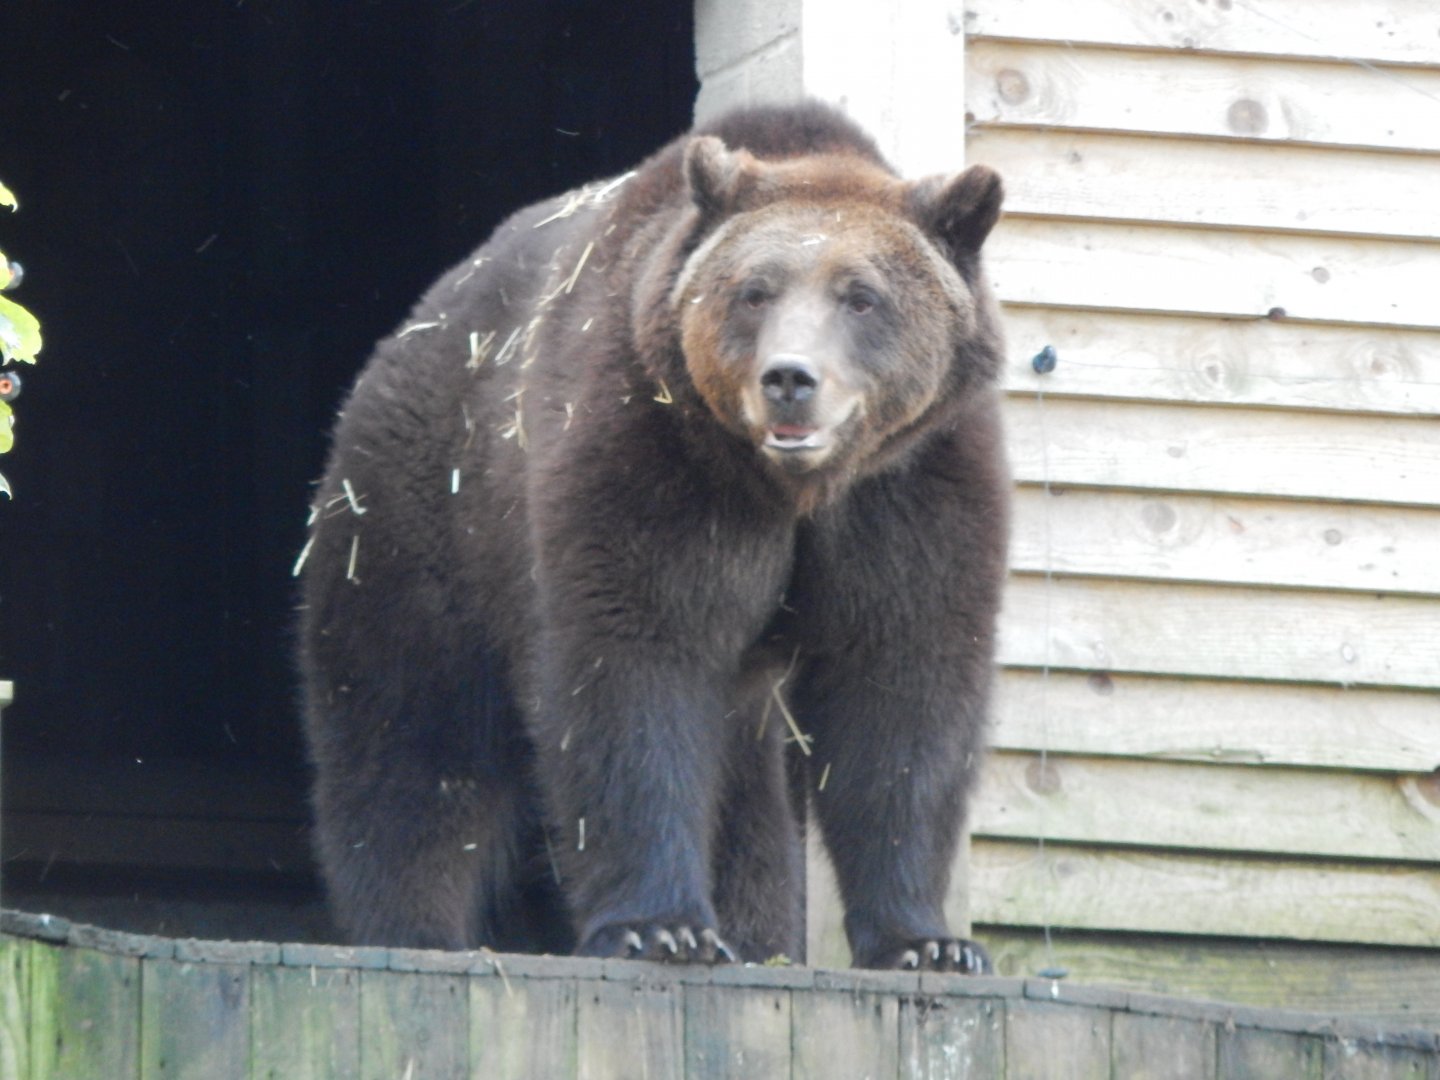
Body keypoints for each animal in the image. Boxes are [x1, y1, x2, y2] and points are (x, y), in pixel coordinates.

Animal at [298, 100, 1008, 972]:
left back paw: (757, 931)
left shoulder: (909, 492)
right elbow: (634, 668)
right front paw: (660, 928)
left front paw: (928, 941)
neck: (795, 489)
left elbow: (904, 688)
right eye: (754, 291)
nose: (790, 378)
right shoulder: (650, 458)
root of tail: (405, 334)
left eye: (862, 295)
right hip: (420, 521)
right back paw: (417, 927)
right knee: (409, 732)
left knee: (742, 786)